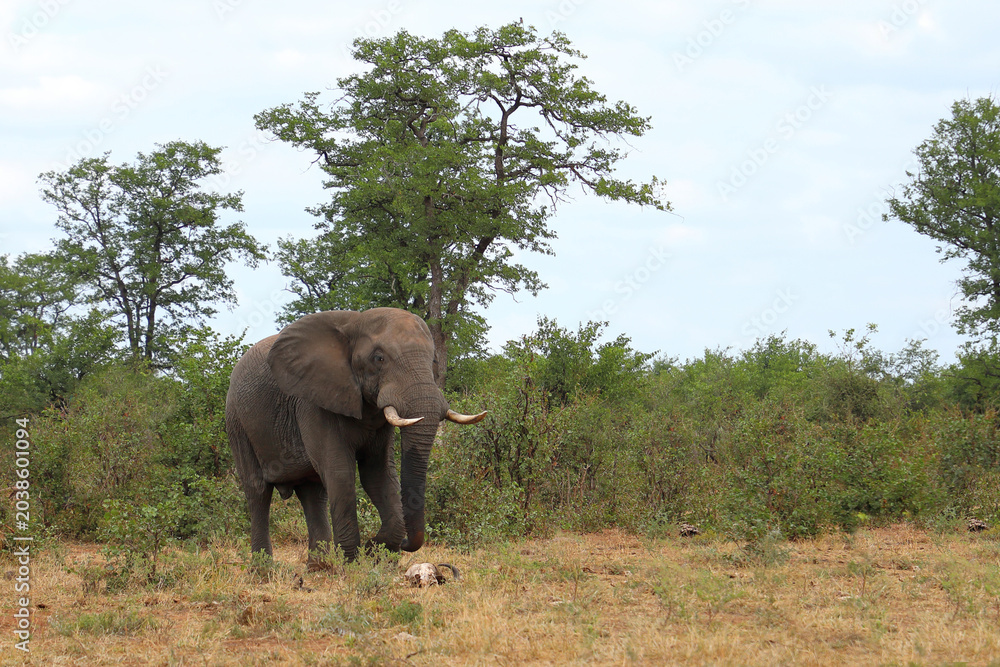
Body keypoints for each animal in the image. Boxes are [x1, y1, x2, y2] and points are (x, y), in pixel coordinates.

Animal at [225, 307, 485, 565]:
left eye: (433, 361)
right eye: (379, 359)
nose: (405, 543)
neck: (355, 322)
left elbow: (377, 474)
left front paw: (374, 551)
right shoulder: (314, 401)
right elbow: (340, 473)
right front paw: (353, 562)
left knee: (312, 493)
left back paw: (318, 568)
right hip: (237, 421)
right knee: (258, 490)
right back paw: (264, 569)